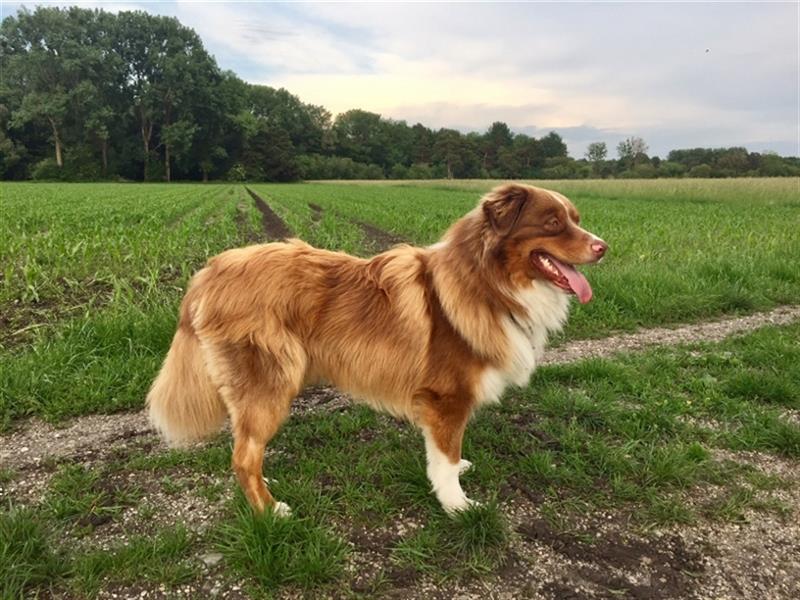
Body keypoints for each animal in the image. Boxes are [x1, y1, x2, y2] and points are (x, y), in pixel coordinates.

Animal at [145, 183, 608, 516]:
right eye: (552, 222)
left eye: (576, 219)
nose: (603, 247)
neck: (486, 281)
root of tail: (208, 272)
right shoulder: (447, 398)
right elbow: (445, 458)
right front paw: (458, 506)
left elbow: (444, 454)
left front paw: (457, 474)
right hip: (269, 385)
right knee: (243, 458)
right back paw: (269, 511)